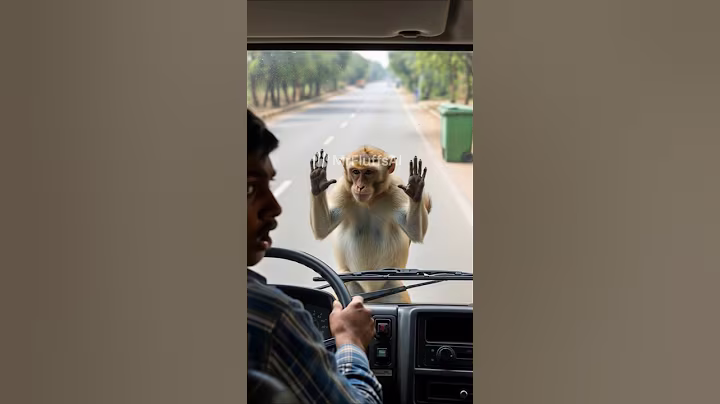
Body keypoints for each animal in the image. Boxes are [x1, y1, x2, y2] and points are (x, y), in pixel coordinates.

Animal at [309, 146, 432, 304]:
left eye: (368, 172)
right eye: (355, 171)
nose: (360, 186)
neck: (371, 199)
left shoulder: (396, 187)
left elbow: (414, 232)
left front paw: (416, 189)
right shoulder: (343, 187)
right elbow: (324, 227)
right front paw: (317, 182)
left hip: (392, 288)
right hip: (349, 286)